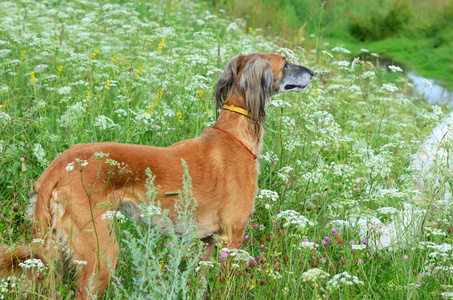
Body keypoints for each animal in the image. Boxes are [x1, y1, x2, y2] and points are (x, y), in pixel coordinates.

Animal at [0, 52, 312, 298]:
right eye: (285, 62)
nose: (312, 73)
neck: (234, 135)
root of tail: (58, 165)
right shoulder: (231, 239)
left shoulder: (208, 243)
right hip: (100, 255)